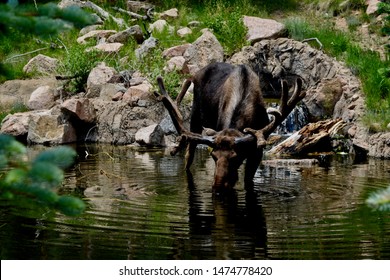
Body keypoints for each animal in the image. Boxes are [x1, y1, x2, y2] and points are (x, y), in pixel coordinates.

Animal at [154, 63, 306, 190]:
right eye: (213, 156)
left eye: (236, 157)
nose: (218, 185)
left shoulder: (257, 151)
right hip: (195, 118)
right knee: (188, 155)